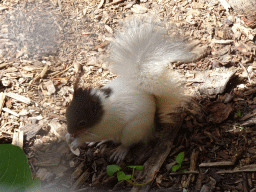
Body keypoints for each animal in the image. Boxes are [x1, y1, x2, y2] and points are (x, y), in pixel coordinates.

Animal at [65, 16, 204, 164]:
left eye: (82, 122)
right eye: (67, 111)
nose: (71, 131)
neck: (101, 107)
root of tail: (152, 125)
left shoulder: (105, 126)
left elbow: (90, 135)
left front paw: (76, 141)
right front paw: (68, 136)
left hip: (133, 130)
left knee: (126, 143)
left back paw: (120, 151)